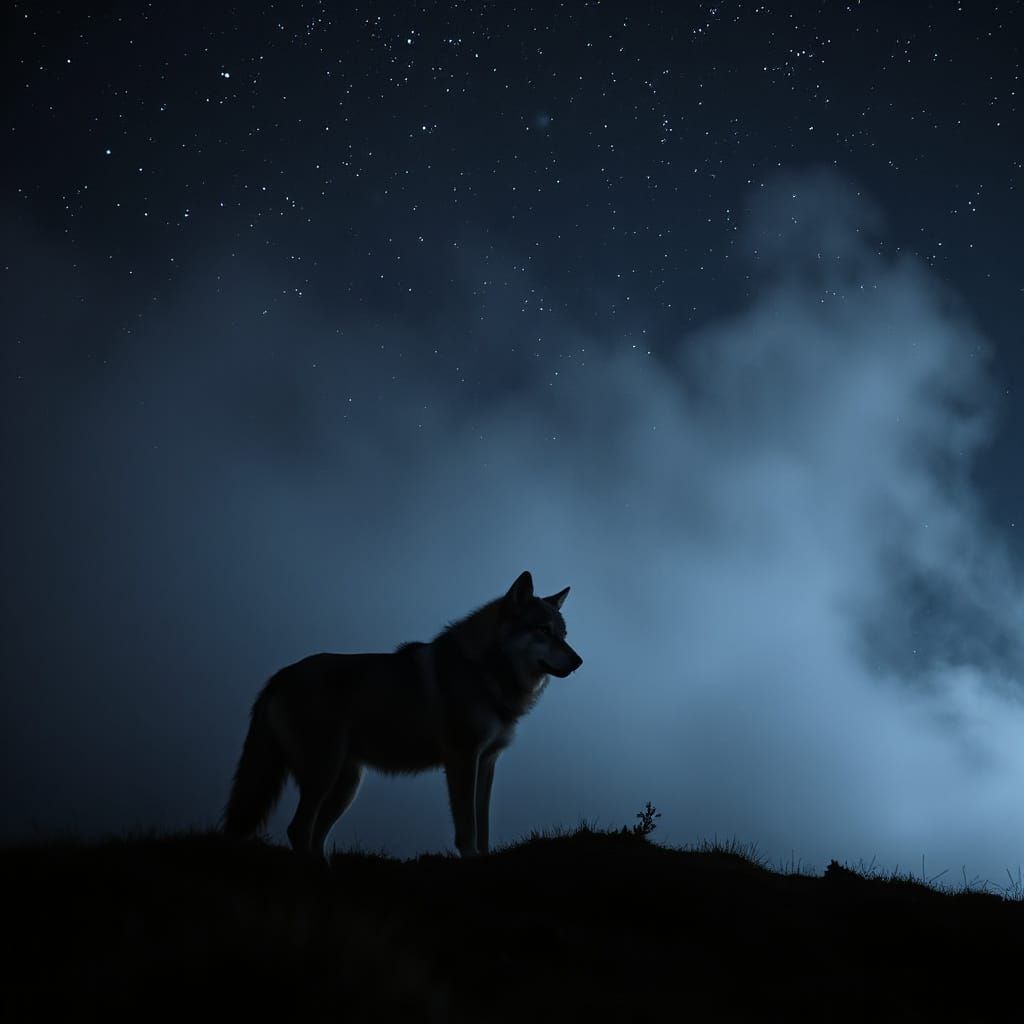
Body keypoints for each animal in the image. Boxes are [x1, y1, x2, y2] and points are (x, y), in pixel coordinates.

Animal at [223, 571, 583, 860]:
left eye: (564, 635)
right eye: (543, 630)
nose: (579, 661)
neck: (485, 671)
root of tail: (279, 675)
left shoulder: (488, 762)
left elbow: (483, 828)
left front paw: (484, 859)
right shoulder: (463, 759)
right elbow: (467, 828)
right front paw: (472, 861)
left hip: (345, 786)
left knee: (313, 836)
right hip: (324, 775)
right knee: (298, 829)